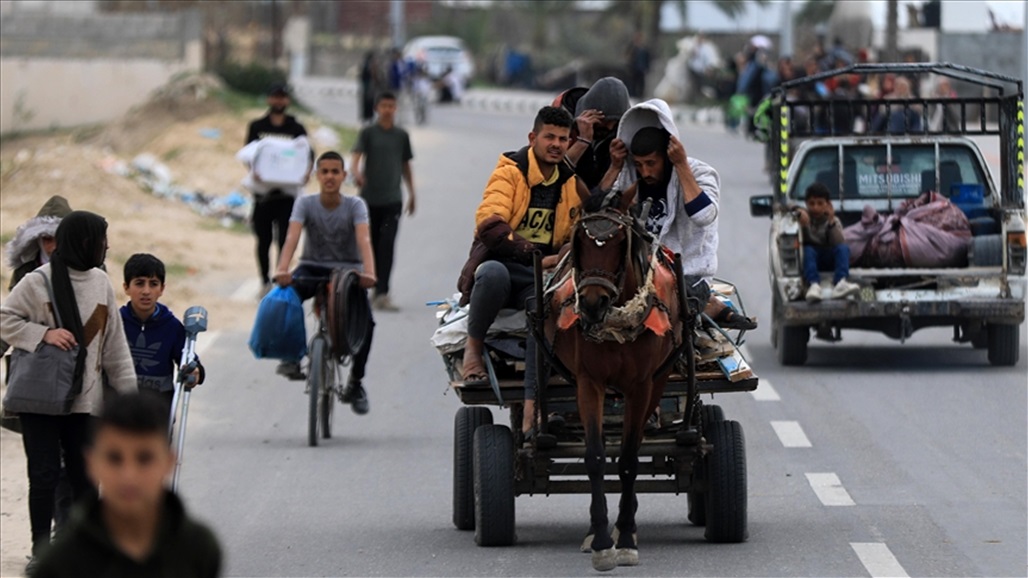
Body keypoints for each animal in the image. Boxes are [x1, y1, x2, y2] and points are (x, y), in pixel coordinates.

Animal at [542, 196, 686, 567]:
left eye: (621, 242)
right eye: (579, 241)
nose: (593, 304)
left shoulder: (641, 386)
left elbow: (629, 460)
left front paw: (625, 537)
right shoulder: (588, 382)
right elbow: (595, 457)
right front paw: (602, 540)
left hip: (658, 382)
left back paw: (627, 524)